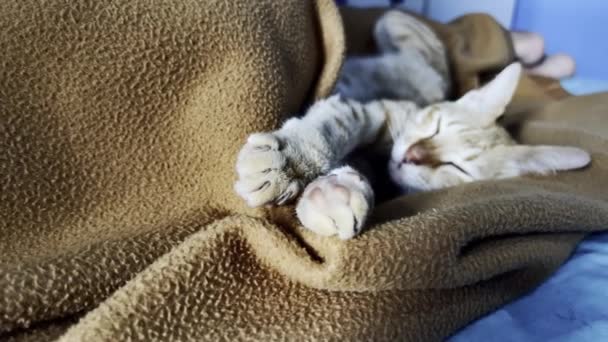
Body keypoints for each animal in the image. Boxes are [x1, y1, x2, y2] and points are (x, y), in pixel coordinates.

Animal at [232, 12, 588, 240]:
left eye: (456, 167)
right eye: (437, 127)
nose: (413, 154)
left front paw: (335, 192)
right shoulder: (369, 111)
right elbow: (331, 125)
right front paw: (287, 164)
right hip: (400, 31)